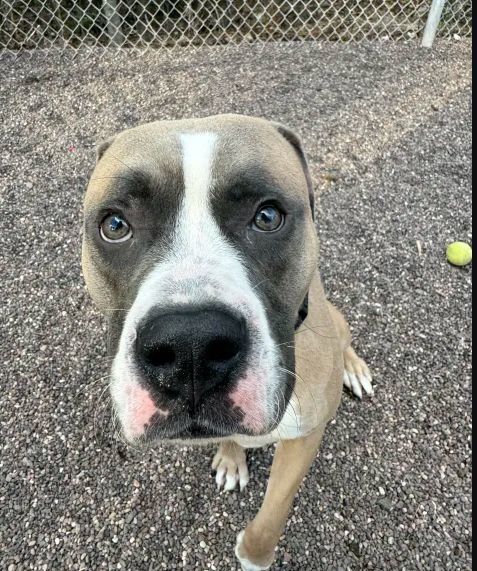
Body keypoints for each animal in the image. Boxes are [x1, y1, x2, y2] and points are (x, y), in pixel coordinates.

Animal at [82, 114, 372, 568]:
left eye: (267, 216)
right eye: (114, 225)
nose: (190, 347)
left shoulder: (305, 437)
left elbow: (274, 510)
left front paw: (254, 554)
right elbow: (228, 437)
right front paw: (232, 458)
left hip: (337, 323)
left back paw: (354, 368)